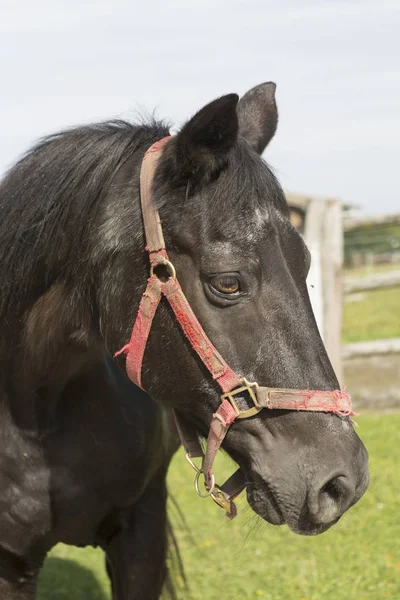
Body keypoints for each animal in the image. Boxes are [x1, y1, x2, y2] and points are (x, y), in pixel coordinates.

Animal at [0, 81, 368, 600]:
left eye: (306, 265)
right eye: (228, 283)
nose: (342, 482)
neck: (37, 418)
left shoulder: (142, 536)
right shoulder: (11, 562)